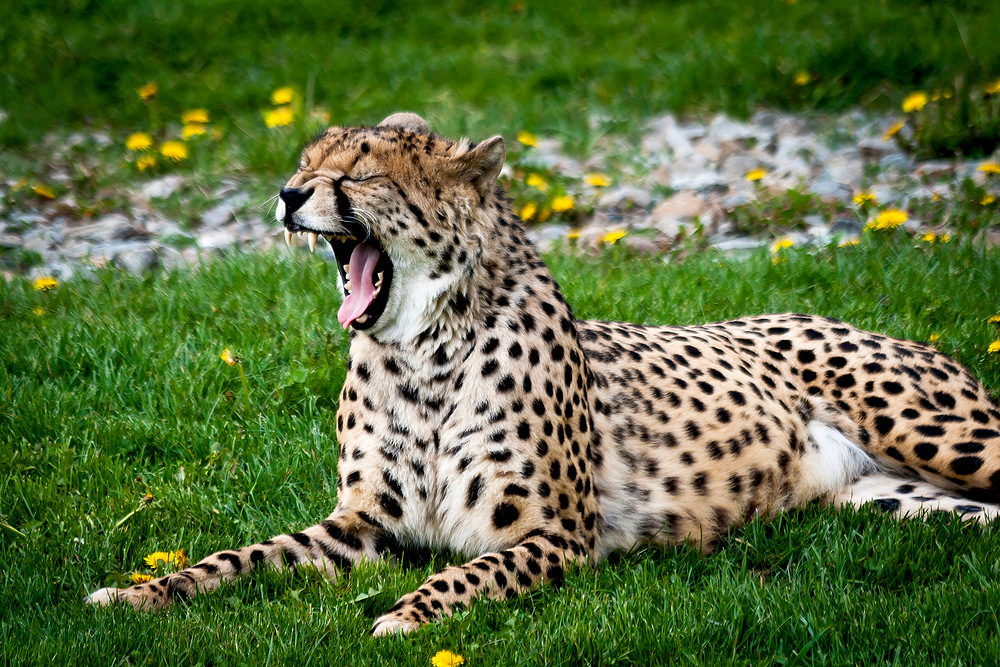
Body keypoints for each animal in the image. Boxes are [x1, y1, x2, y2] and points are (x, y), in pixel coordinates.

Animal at [86, 112, 1000, 636]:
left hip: (938, 434)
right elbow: (237, 557)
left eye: (361, 173)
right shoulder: (364, 525)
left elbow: (467, 569)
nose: (287, 195)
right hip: (898, 499)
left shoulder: (560, 535)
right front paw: (139, 594)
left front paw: (403, 616)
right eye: (307, 161)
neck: (422, 348)